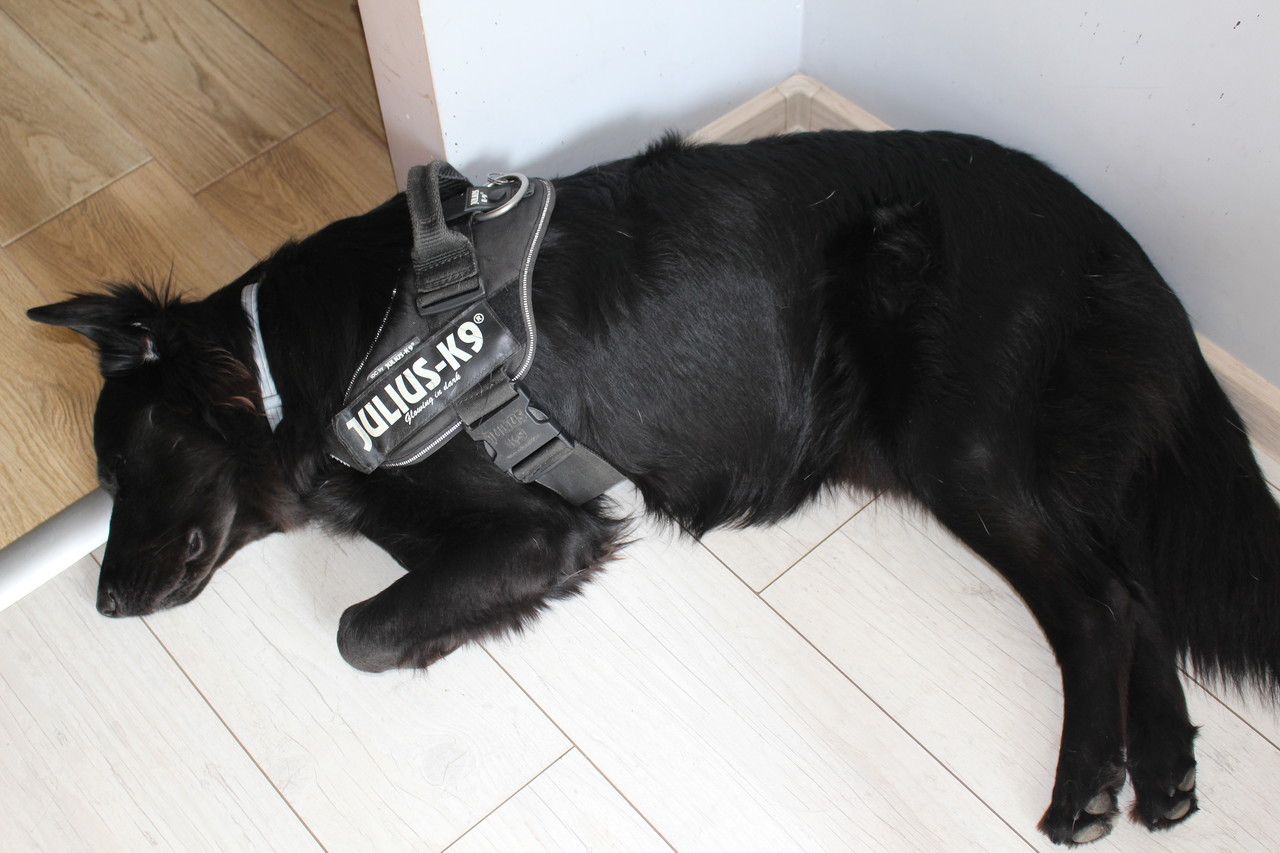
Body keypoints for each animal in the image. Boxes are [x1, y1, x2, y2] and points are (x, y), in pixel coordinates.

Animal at [29, 130, 1280, 846]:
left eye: (123, 469)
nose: (102, 600)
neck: (291, 364)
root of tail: (1108, 237)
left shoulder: (542, 528)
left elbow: (359, 630)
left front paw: (435, 636)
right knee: (1132, 590)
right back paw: (1165, 768)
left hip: (959, 446)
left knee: (1095, 603)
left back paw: (1086, 786)